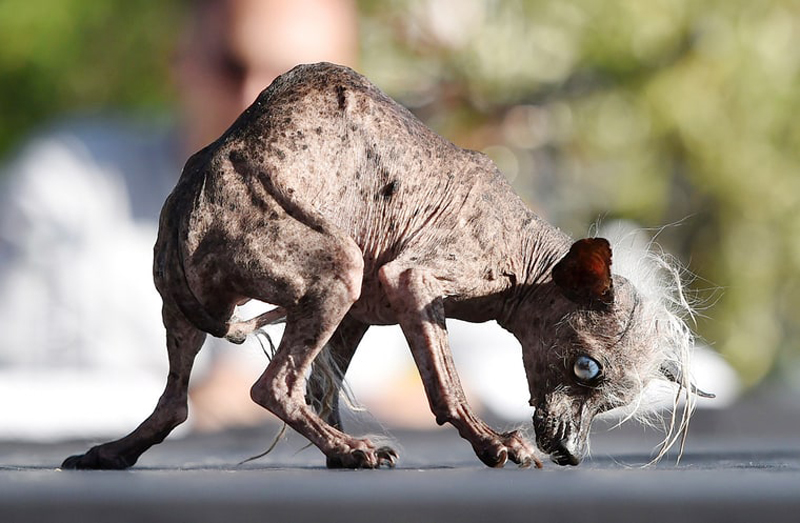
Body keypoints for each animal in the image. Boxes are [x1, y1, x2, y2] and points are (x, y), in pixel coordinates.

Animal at [65, 62, 708, 470]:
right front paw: (492, 445)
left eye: (614, 401)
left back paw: (113, 452)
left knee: (178, 401)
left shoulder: (362, 312)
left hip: (201, 301)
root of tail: (199, 180)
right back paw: (350, 449)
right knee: (271, 386)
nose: (571, 454)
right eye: (586, 369)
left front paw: (339, 447)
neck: (522, 254)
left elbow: (323, 388)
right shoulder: (414, 281)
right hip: (338, 269)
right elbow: (445, 389)